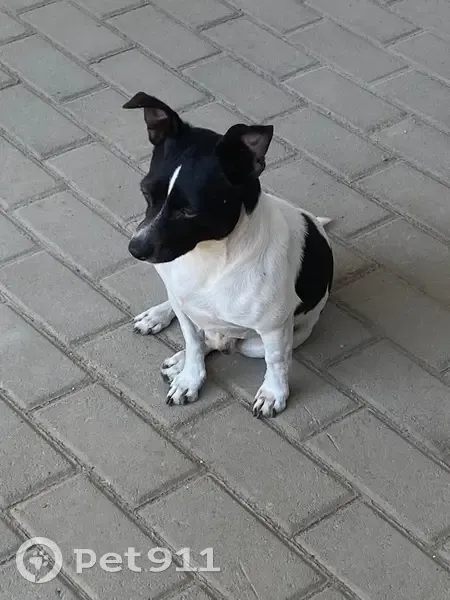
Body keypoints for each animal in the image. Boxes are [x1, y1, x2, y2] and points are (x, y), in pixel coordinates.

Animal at [124, 93, 333, 417]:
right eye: (146, 194)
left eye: (189, 211)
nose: (136, 248)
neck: (209, 260)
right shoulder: (183, 304)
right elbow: (193, 341)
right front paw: (191, 376)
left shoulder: (273, 329)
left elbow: (276, 363)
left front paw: (273, 393)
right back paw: (162, 323)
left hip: (272, 338)